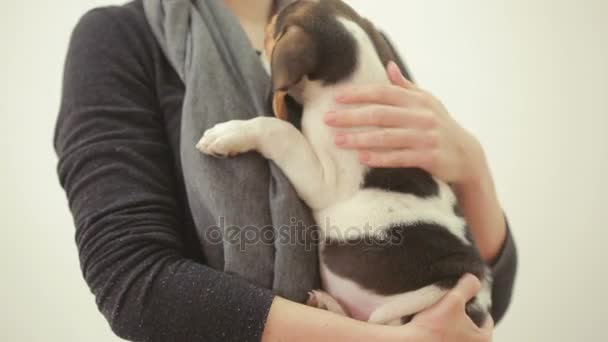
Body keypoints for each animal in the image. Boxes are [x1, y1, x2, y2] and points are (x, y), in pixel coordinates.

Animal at [197, 0, 492, 326]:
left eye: (272, 29)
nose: (258, 53)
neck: (358, 77)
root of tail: (477, 304)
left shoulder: (325, 180)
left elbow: (281, 130)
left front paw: (228, 134)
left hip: (418, 301)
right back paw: (327, 306)